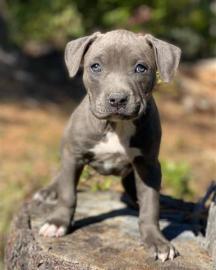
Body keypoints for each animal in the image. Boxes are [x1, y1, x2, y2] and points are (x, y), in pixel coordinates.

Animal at [36, 29, 181, 262]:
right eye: (95, 66)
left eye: (141, 68)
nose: (117, 99)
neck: (115, 126)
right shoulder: (73, 154)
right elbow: (68, 193)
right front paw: (58, 223)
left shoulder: (148, 165)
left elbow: (150, 205)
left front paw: (157, 241)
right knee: (62, 177)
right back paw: (49, 191)